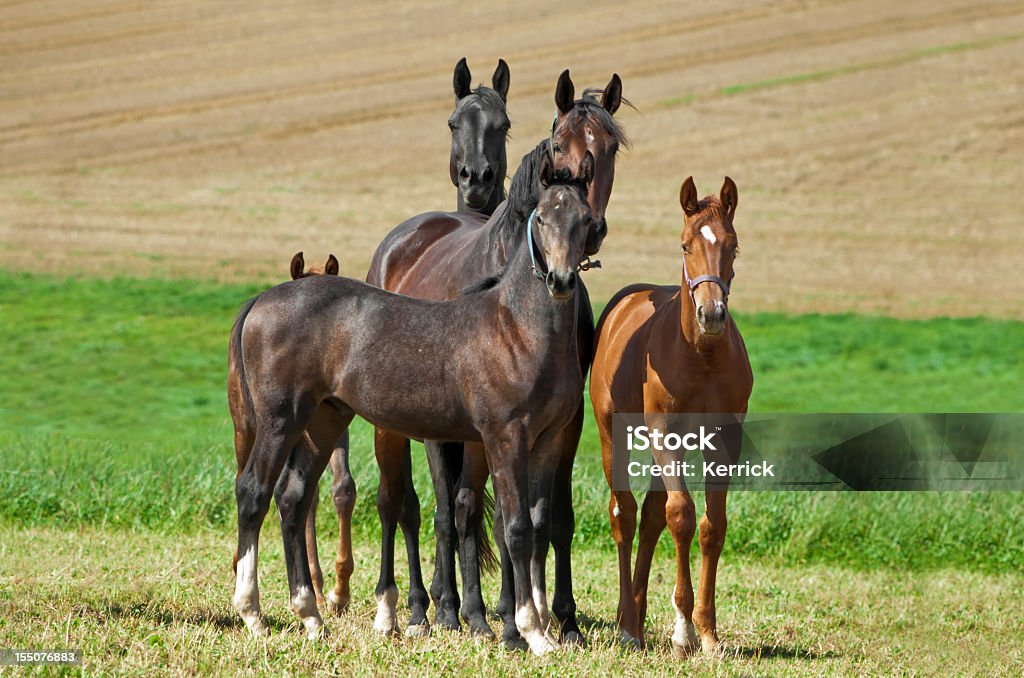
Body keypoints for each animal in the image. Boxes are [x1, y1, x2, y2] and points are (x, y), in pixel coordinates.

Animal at [230, 152, 598, 659]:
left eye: (586, 219)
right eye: (541, 218)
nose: (561, 281)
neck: (516, 329)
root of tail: (260, 301)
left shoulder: (546, 442)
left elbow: (539, 526)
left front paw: (541, 623)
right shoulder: (504, 438)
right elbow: (516, 529)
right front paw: (532, 633)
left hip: (323, 420)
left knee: (292, 498)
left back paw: (311, 617)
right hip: (279, 420)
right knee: (253, 493)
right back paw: (253, 615)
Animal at [593, 176, 753, 659]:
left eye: (733, 246)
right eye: (685, 245)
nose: (712, 314)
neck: (701, 357)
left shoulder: (725, 439)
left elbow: (711, 526)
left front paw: (709, 632)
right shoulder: (664, 433)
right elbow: (681, 515)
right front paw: (684, 630)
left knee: (648, 515)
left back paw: (636, 615)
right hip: (613, 433)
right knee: (624, 514)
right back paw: (628, 625)